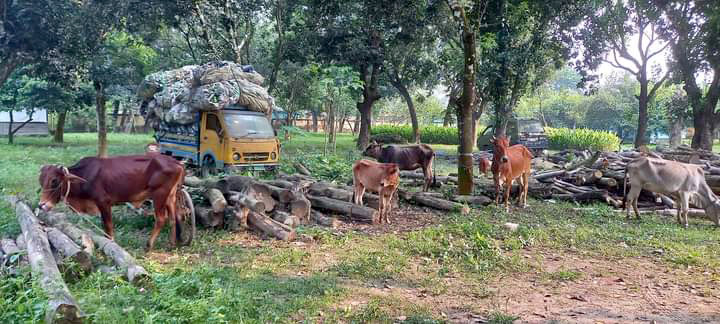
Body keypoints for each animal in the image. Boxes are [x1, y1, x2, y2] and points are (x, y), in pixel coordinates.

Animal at [39, 154, 186, 251]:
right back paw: (172, 244)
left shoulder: (103, 202)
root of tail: (177, 163)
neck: (85, 176)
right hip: (170, 196)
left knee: (161, 219)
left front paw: (111, 244)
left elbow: (108, 226)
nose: (41, 205)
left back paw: (149, 246)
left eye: (54, 181)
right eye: (41, 181)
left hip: (159, 195)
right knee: (174, 218)